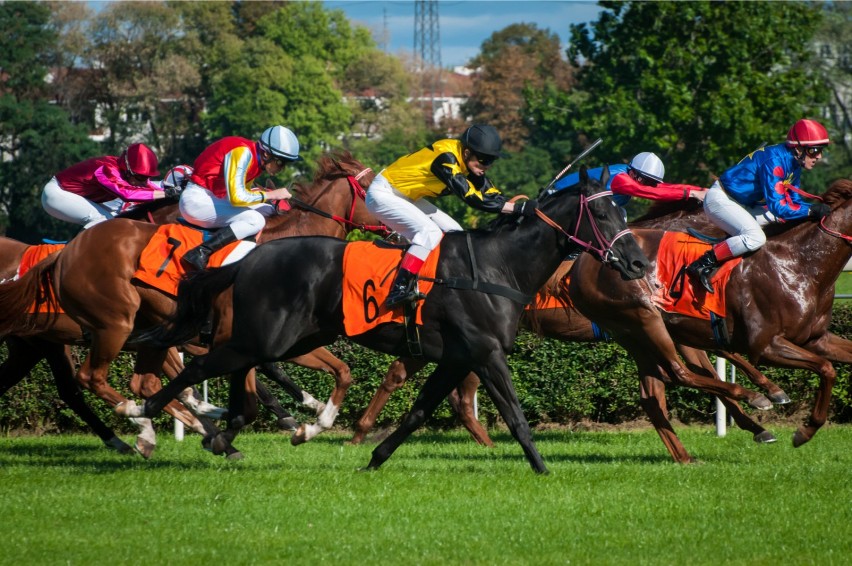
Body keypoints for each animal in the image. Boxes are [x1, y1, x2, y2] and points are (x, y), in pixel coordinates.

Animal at [0, 153, 382, 460]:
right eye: (371, 189)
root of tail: (65, 254)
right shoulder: (240, 342)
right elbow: (258, 386)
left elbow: (339, 370)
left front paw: (307, 416)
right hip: (111, 325)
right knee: (91, 380)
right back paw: (146, 428)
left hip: (44, 342)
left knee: (115, 385)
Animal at [120, 168, 648, 474]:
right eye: (603, 213)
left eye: (623, 210)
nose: (639, 263)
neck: (497, 267)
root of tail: (248, 256)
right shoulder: (486, 353)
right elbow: (516, 415)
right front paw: (541, 466)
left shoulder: (455, 359)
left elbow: (418, 413)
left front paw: (374, 459)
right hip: (267, 337)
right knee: (199, 367)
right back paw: (147, 414)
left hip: (288, 338)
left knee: (236, 376)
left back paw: (234, 433)